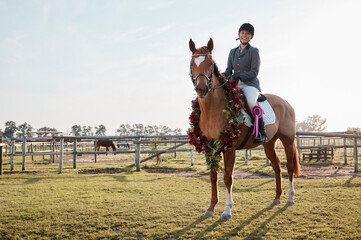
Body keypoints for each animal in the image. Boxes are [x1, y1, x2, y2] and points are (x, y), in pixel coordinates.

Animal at [187, 38, 300, 221]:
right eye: (192, 64)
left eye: (210, 64)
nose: (202, 89)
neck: (214, 109)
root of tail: (286, 103)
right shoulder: (211, 147)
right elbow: (213, 176)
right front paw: (211, 208)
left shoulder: (229, 148)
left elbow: (228, 177)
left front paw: (227, 210)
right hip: (269, 143)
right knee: (276, 166)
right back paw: (277, 198)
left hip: (288, 140)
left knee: (289, 167)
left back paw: (290, 199)